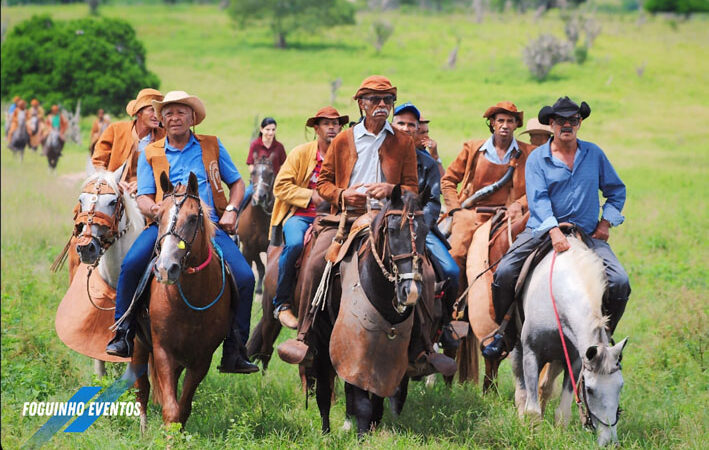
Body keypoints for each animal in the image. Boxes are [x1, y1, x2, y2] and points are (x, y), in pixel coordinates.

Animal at [131, 171, 231, 428]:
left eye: (194, 218)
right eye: (158, 216)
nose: (166, 269)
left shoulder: (202, 360)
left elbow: (182, 408)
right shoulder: (163, 351)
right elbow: (171, 409)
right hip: (137, 344)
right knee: (141, 388)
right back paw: (143, 428)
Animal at [236, 157, 272, 296]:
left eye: (271, 173)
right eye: (253, 173)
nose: (260, 196)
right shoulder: (249, 248)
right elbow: (259, 268)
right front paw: (258, 289)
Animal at [508, 236, 632, 446]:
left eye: (620, 386)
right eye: (589, 390)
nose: (608, 441)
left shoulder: (575, 362)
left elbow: (562, 413)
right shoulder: (532, 354)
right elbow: (532, 410)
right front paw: (531, 436)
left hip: (557, 360)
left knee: (545, 387)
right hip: (519, 350)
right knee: (522, 391)